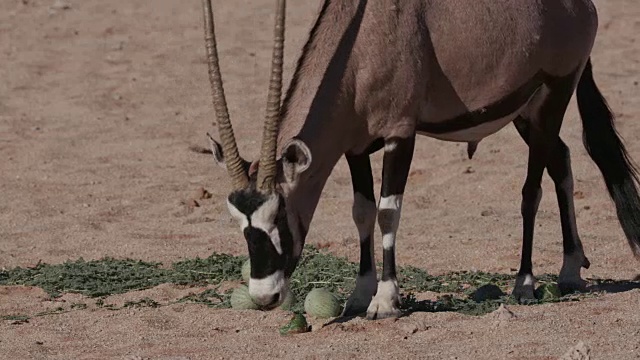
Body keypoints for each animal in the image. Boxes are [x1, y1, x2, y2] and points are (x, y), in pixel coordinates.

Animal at [200, 0, 640, 320]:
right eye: (239, 222)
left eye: (279, 216)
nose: (265, 297)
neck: (360, 47)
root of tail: (580, 6)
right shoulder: (355, 147)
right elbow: (362, 212)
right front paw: (360, 294)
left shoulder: (400, 135)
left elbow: (387, 212)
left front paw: (385, 301)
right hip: (526, 112)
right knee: (561, 159)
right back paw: (570, 270)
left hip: (554, 96)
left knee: (532, 191)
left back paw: (526, 283)